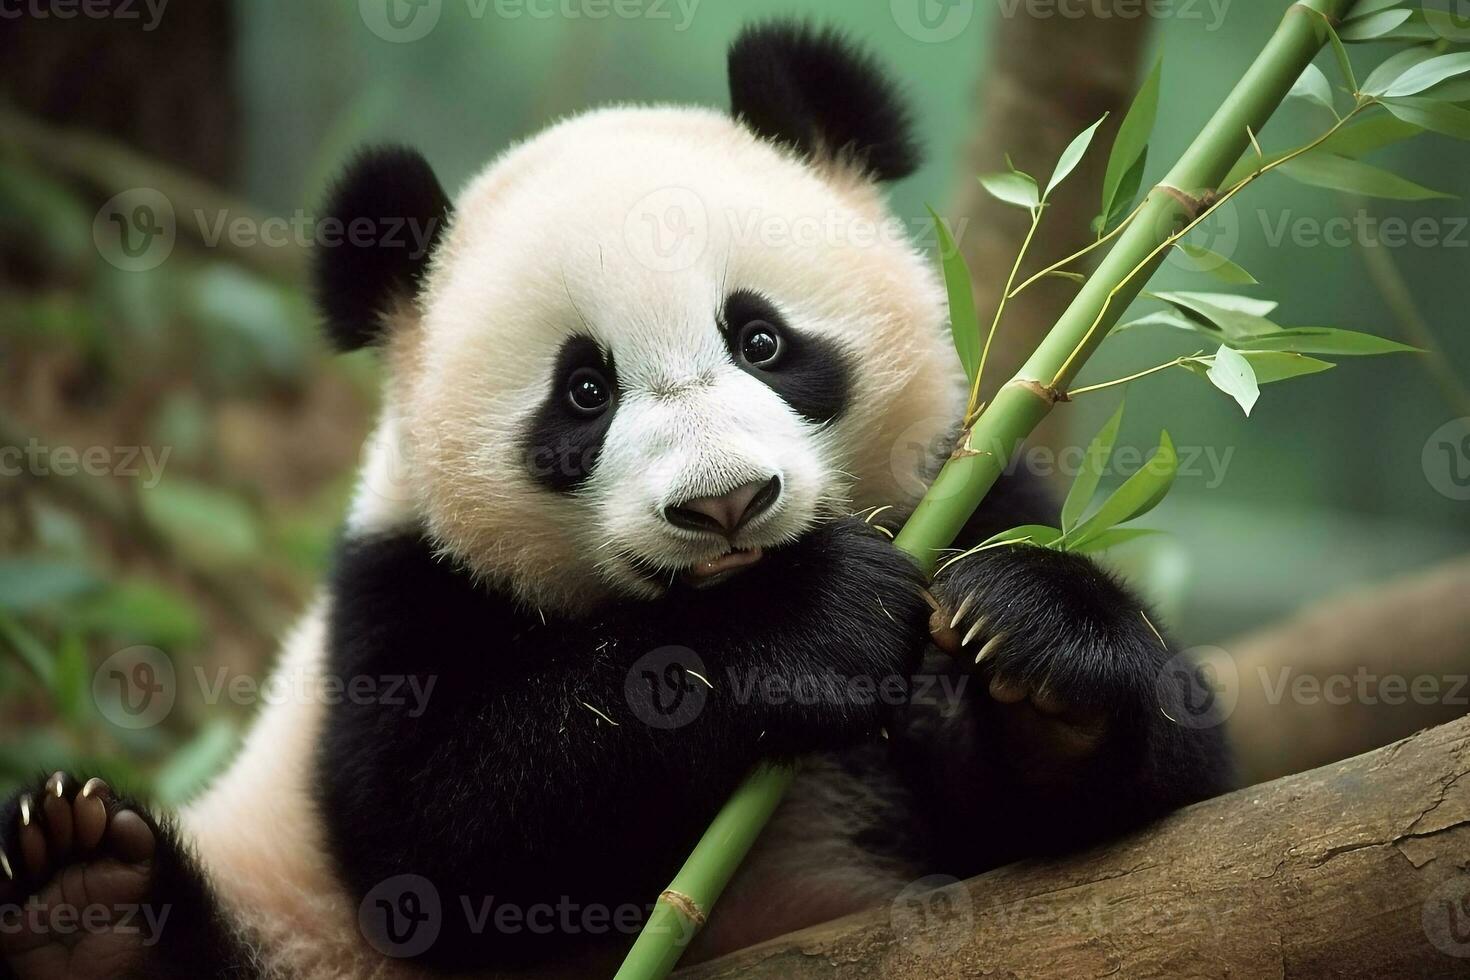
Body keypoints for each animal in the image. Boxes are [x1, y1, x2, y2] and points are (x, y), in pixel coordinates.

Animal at [0, 22, 1228, 980]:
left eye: (762, 339)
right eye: (583, 393)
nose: (727, 504)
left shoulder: (954, 482)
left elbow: (1159, 796)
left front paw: (1035, 653)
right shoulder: (401, 587)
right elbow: (437, 835)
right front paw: (813, 622)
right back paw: (89, 908)